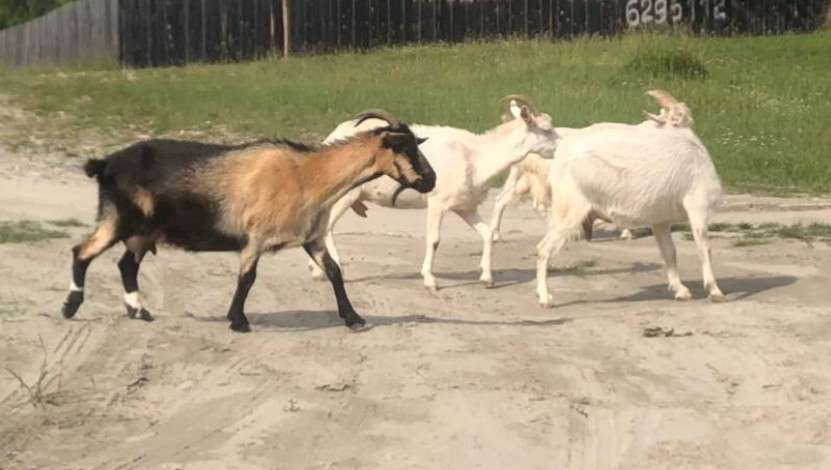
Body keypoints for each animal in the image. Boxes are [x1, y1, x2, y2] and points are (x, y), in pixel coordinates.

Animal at [60, 110, 436, 332]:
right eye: (406, 149)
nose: (431, 180)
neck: (307, 175)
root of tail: (105, 163)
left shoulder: (310, 236)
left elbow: (334, 272)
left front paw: (354, 318)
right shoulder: (256, 237)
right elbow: (248, 278)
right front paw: (238, 320)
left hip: (143, 231)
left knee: (126, 264)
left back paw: (139, 311)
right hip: (118, 219)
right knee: (82, 252)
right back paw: (71, 306)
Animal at [307, 97, 560, 290]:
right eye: (546, 129)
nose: (560, 147)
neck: (476, 156)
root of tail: (331, 138)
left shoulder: (464, 207)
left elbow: (487, 234)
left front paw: (487, 278)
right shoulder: (438, 203)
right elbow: (435, 239)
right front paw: (430, 280)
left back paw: (316, 269)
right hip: (346, 195)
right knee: (327, 227)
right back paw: (331, 268)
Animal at [535, 90, 726, 307]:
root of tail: (561, 154)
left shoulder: (660, 220)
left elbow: (669, 252)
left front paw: (680, 290)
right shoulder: (697, 204)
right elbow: (704, 246)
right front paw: (715, 290)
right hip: (572, 207)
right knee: (543, 248)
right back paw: (545, 298)